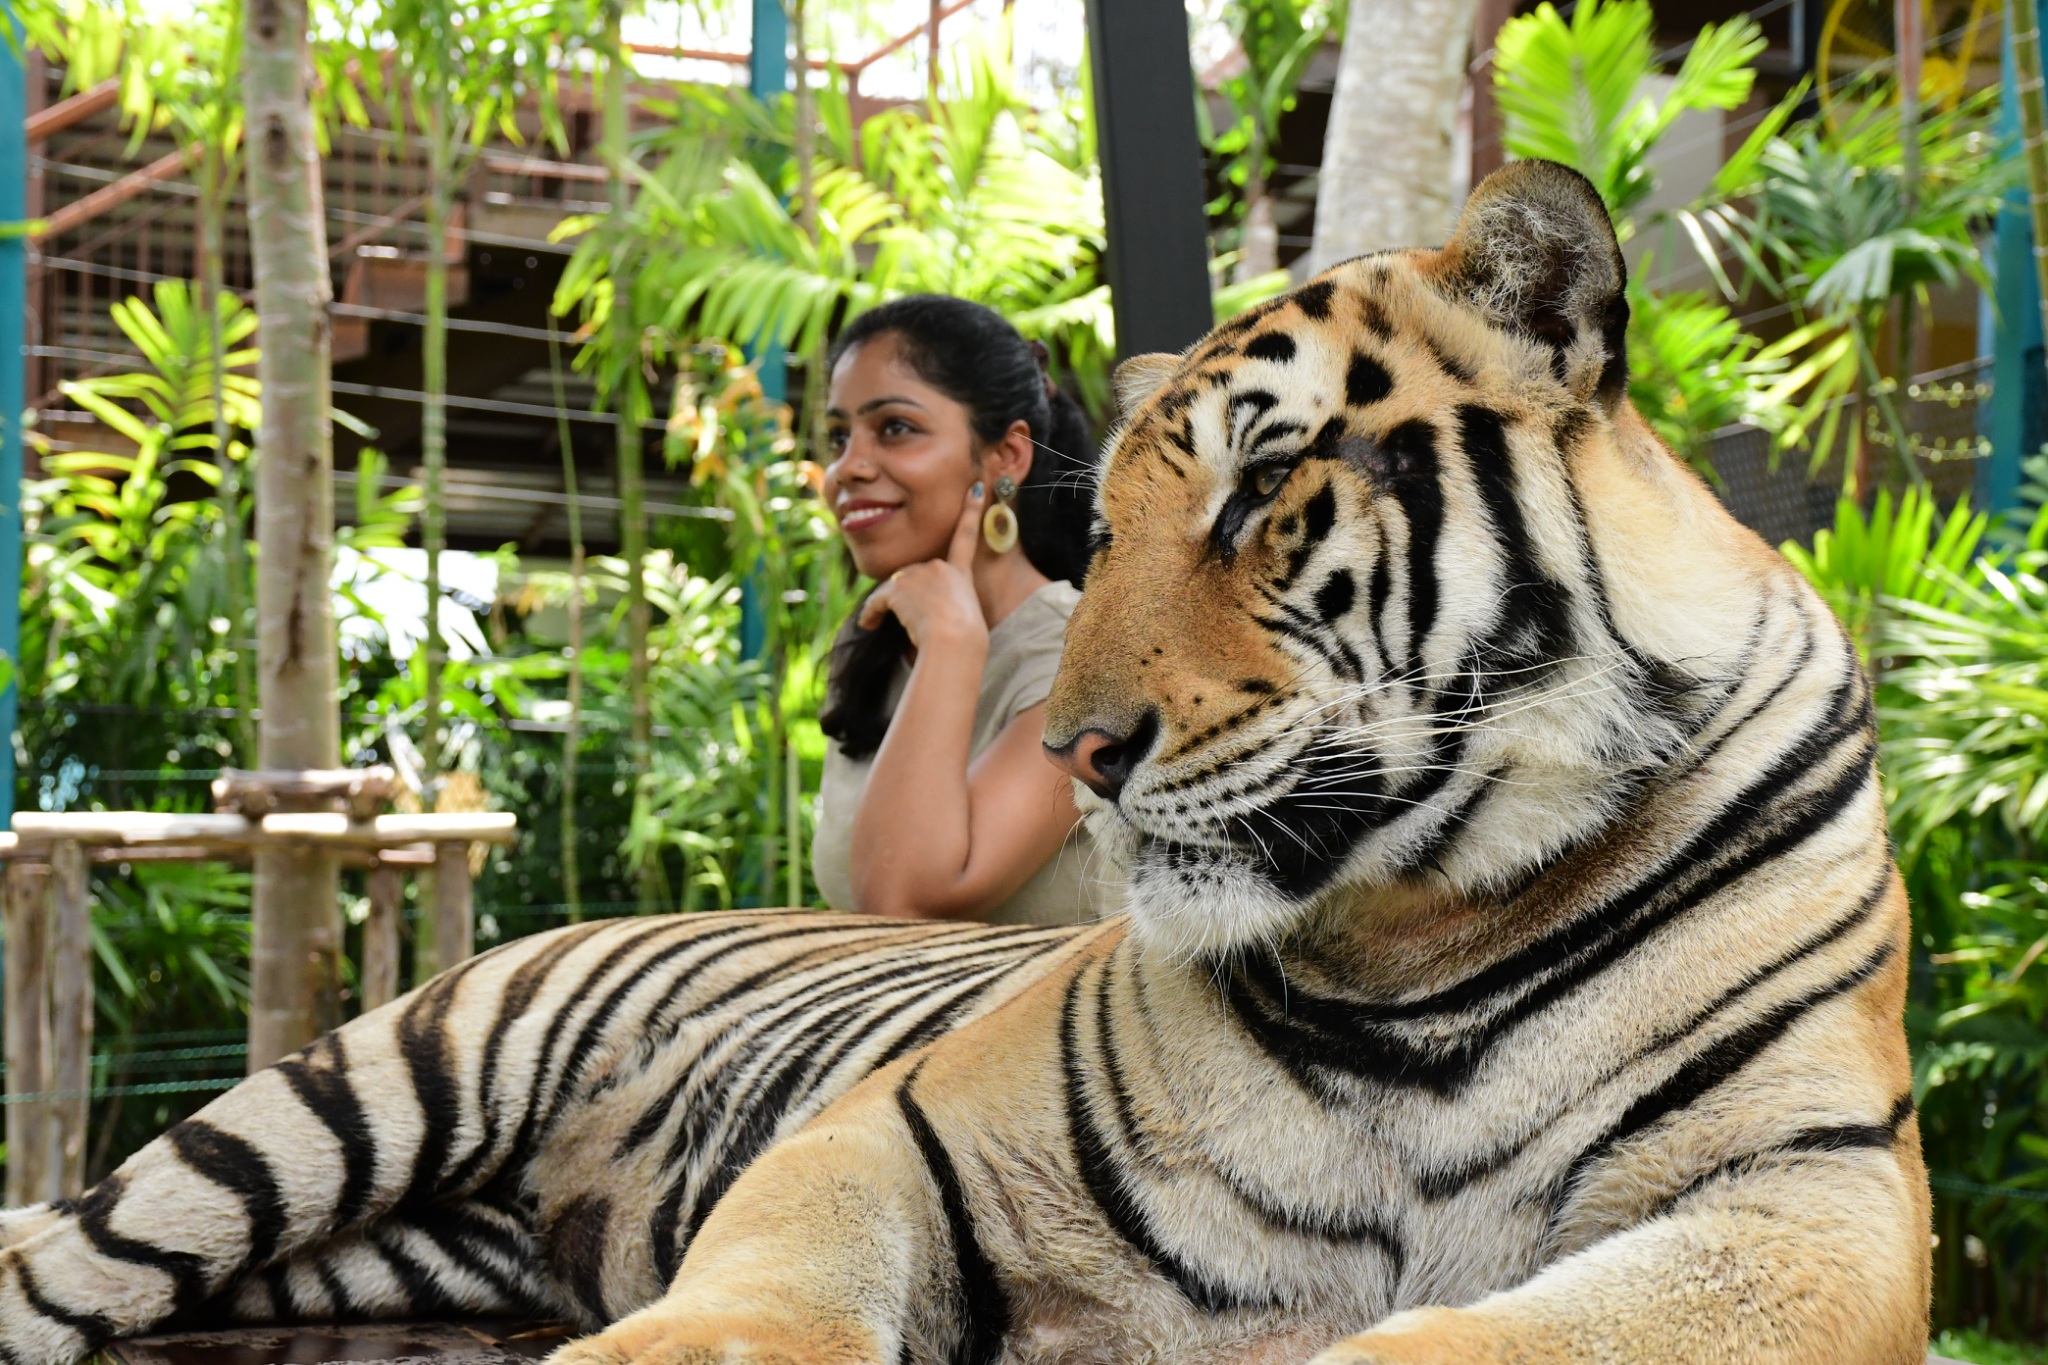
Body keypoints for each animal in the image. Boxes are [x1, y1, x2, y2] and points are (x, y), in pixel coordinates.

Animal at [0, 158, 1926, 1365]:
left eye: (1260, 488)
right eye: (1106, 526)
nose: (1073, 750)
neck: (1423, 938)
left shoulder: (1817, 1198)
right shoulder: (906, 1124)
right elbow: (774, 1282)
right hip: (335, 1107)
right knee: (66, 1255)